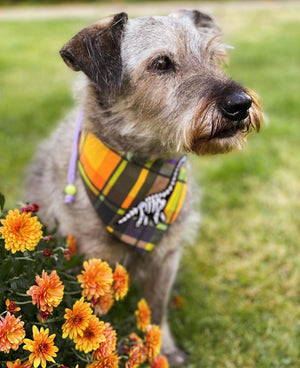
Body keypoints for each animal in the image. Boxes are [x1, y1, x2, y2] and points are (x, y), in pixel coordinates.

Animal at [27, 10, 262, 366]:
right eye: (162, 63)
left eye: (212, 57)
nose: (241, 103)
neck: (146, 169)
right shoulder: (90, 261)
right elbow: (94, 318)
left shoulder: (166, 258)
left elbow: (155, 308)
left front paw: (162, 348)